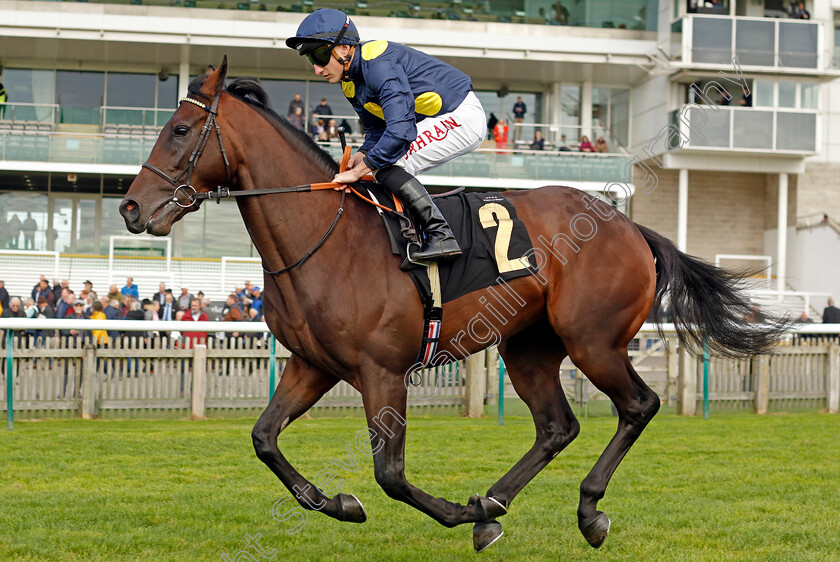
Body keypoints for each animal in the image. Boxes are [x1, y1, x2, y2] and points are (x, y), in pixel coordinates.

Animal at [118, 60, 788, 548]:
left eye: (180, 130)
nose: (129, 207)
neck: (326, 237)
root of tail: (630, 226)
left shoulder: (382, 372)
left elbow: (390, 475)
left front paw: (448, 513)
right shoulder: (313, 366)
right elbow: (264, 439)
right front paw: (338, 502)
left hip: (593, 339)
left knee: (638, 405)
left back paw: (587, 510)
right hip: (530, 347)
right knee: (557, 425)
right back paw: (493, 502)